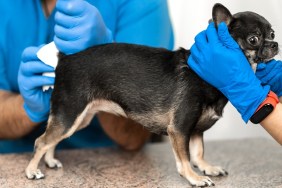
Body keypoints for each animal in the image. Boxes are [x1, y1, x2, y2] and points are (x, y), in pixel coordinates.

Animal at [25, 3, 278, 187]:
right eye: (253, 39)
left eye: (273, 33)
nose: (275, 44)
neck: (207, 77)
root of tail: (64, 59)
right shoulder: (179, 130)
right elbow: (185, 159)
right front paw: (194, 177)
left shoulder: (196, 130)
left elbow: (198, 153)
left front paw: (207, 167)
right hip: (70, 114)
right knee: (41, 141)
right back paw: (31, 171)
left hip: (78, 118)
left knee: (51, 140)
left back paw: (50, 161)